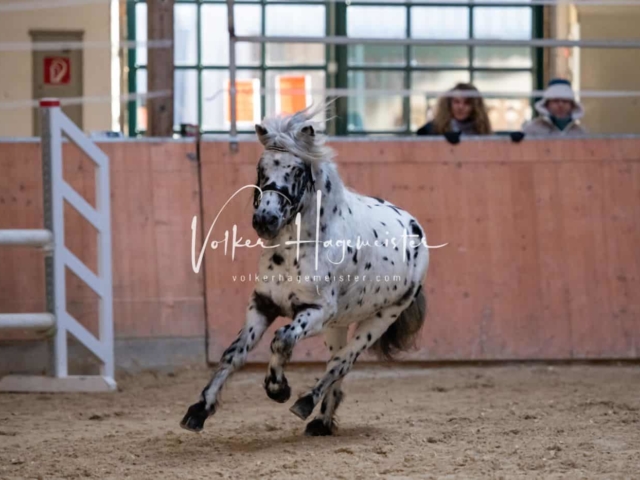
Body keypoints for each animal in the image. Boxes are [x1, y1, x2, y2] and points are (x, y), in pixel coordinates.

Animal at [180, 103, 430, 436]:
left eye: (297, 170)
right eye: (260, 168)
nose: (266, 219)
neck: (297, 250)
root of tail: (415, 227)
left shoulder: (314, 312)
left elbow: (282, 339)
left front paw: (278, 389)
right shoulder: (262, 304)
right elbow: (234, 353)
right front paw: (198, 410)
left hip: (380, 318)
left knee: (341, 362)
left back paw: (305, 404)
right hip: (338, 323)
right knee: (336, 364)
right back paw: (322, 422)